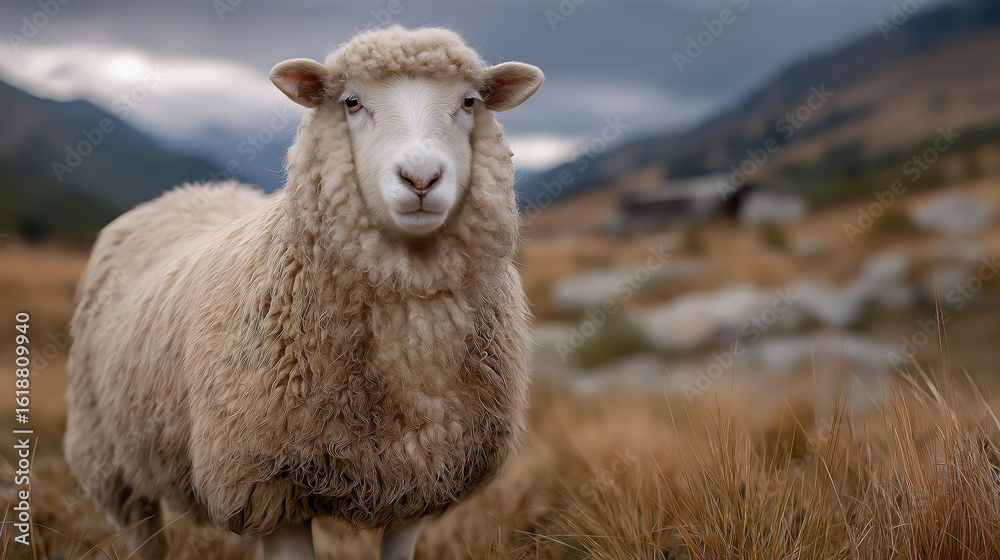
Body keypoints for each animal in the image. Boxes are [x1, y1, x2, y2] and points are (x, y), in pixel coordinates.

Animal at [64, 25, 543, 560]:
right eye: (351, 101)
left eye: (468, 102)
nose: (421, 178)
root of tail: (189, 192)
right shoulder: (267, 484)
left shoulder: (424, 476)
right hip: (110, 459)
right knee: (143, 533)